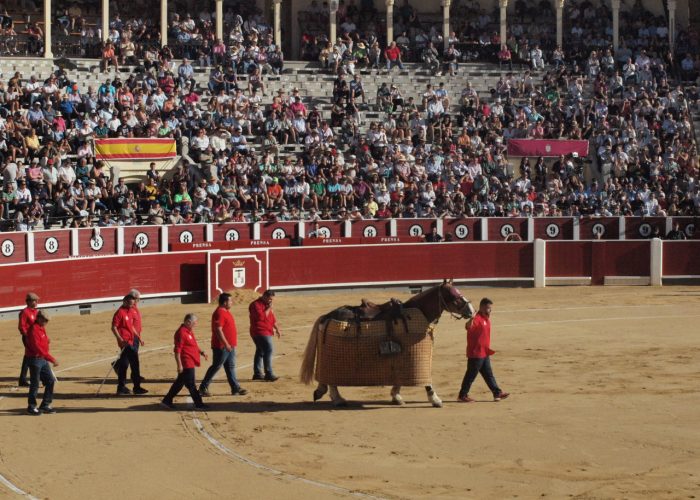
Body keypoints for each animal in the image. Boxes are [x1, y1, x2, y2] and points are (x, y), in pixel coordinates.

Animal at [300, 280, 475, 408]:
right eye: (453, 295)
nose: (471, 311)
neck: (420, 312)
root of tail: (328, 315)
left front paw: (396, 396)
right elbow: (427, 382)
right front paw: (436, 400)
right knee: (332, 381)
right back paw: (338, 399)